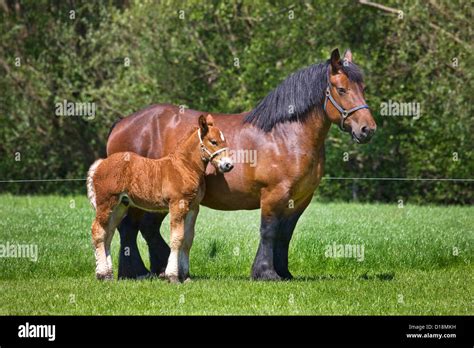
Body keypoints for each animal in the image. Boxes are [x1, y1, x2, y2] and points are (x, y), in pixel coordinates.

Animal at [87, 115, 233, 282]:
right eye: (213, 141)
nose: (228, 165)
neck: (184, 167)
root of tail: (101, 163)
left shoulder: (193, 207)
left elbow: (188, 240)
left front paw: (186, 277)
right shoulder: (177, 204)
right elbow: (177, 238)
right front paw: (173, 276)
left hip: (120, 205)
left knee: (108, 233)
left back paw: (108, 274)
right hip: (106, 202)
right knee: (98, 231)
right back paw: (102, 274)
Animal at [105, 48, 376, 280]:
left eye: (363, 88)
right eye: (341, 89)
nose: (367, 129)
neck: (285, 136)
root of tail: (123, 123)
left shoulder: (299, 200)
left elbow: (285, 235)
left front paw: (284, 272)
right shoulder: (273, 194)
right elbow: (269, 231)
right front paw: (266, 273)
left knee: (146, 228)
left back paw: (160, 269)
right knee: (129, 228)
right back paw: (137, 272)